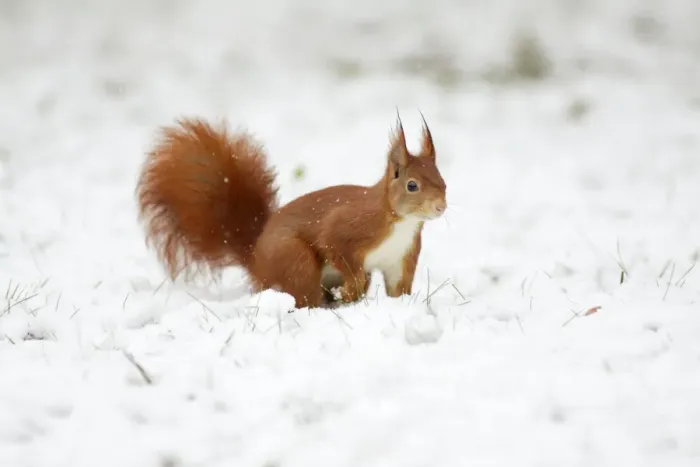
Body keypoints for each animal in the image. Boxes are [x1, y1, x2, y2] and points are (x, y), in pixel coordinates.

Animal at [136, 113, 447, 309]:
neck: (401, 222)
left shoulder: (401, 256)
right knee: (303, 294)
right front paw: (348, 291)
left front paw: (401, 304)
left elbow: (398, 287)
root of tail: (256, 260)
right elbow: (336, 248)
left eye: (442, 180)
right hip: (294, 259)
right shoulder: (348, 229)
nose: (440, 207)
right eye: (412, 185)